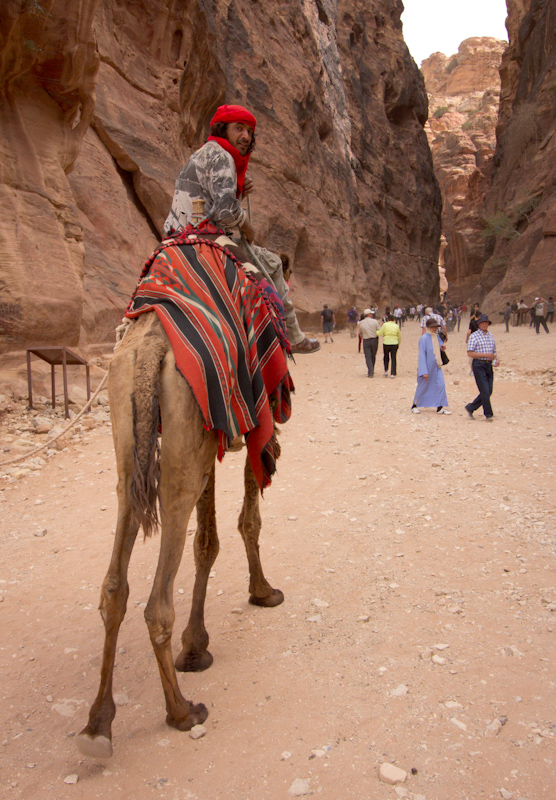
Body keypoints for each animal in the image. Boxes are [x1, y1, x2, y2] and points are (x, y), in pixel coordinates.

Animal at [76, 310, 284, 756]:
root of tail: (152, 345)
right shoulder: (255, 422)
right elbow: (248, 519)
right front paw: (262, 592)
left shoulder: (211, 441)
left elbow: (206, 540)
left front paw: (195, 646)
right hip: (182, 446)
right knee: (158, 598)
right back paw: (181, 711)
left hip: (131, 433)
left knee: (115, 582)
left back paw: (98, 724)